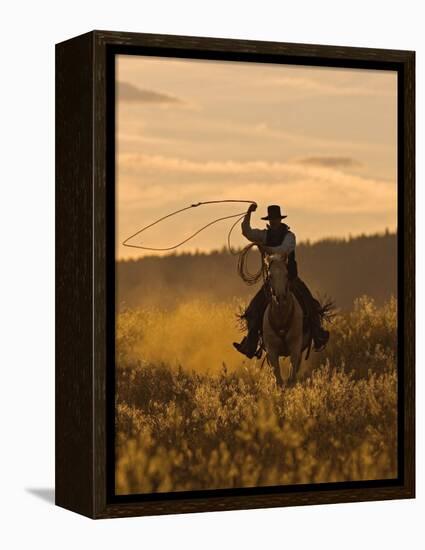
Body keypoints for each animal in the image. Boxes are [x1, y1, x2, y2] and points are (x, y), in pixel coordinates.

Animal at [260, 253, 310, 388]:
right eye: (270, 276)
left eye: (287, 274)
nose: (281, 297)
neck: (281, 317)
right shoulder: (271, 351)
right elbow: (278, 379)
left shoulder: (295, 348)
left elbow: (291, 378)